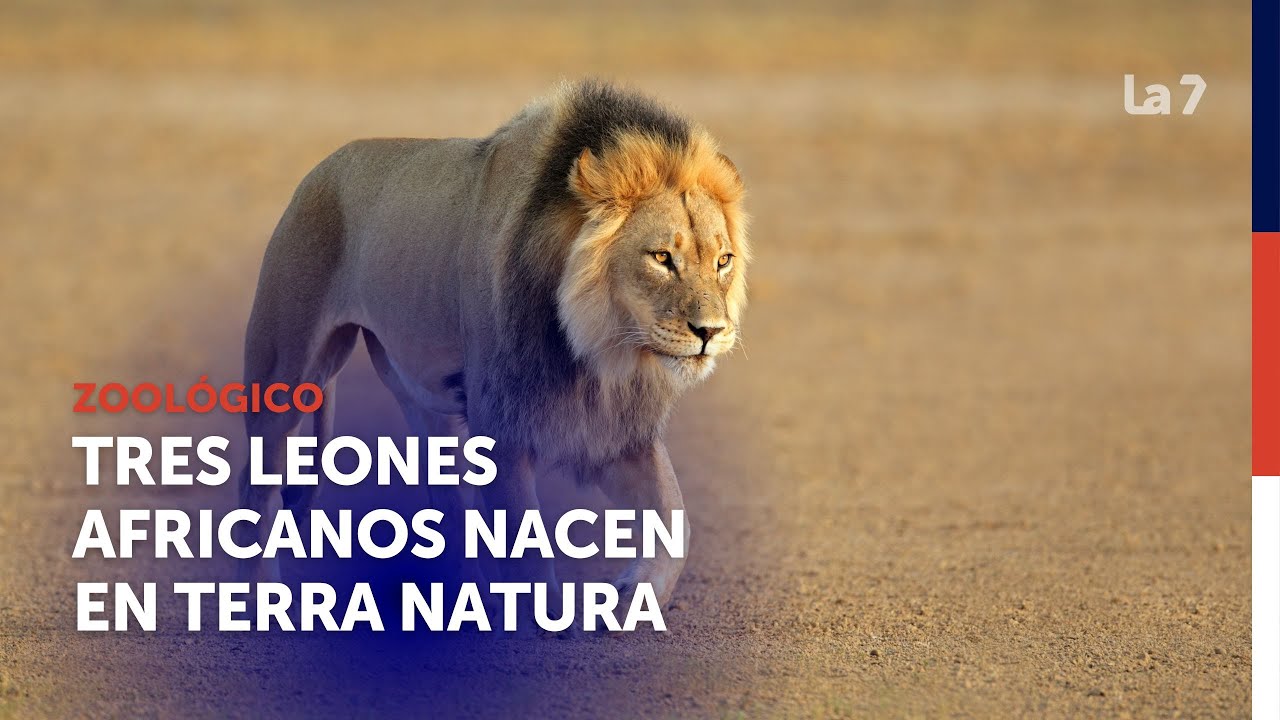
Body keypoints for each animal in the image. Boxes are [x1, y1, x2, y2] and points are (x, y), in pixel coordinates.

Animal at [237, 80, 749, 617]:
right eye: (661, 258)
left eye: (723, 260)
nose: (712, 331)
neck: (596, 350)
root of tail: (324, 165)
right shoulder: (501, 421)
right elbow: (527, 557)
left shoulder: (610, 424)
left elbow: (675, 518)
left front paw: (633, 594)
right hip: (284, 372)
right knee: (254, 489)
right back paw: (260, 597)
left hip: (421, 402)